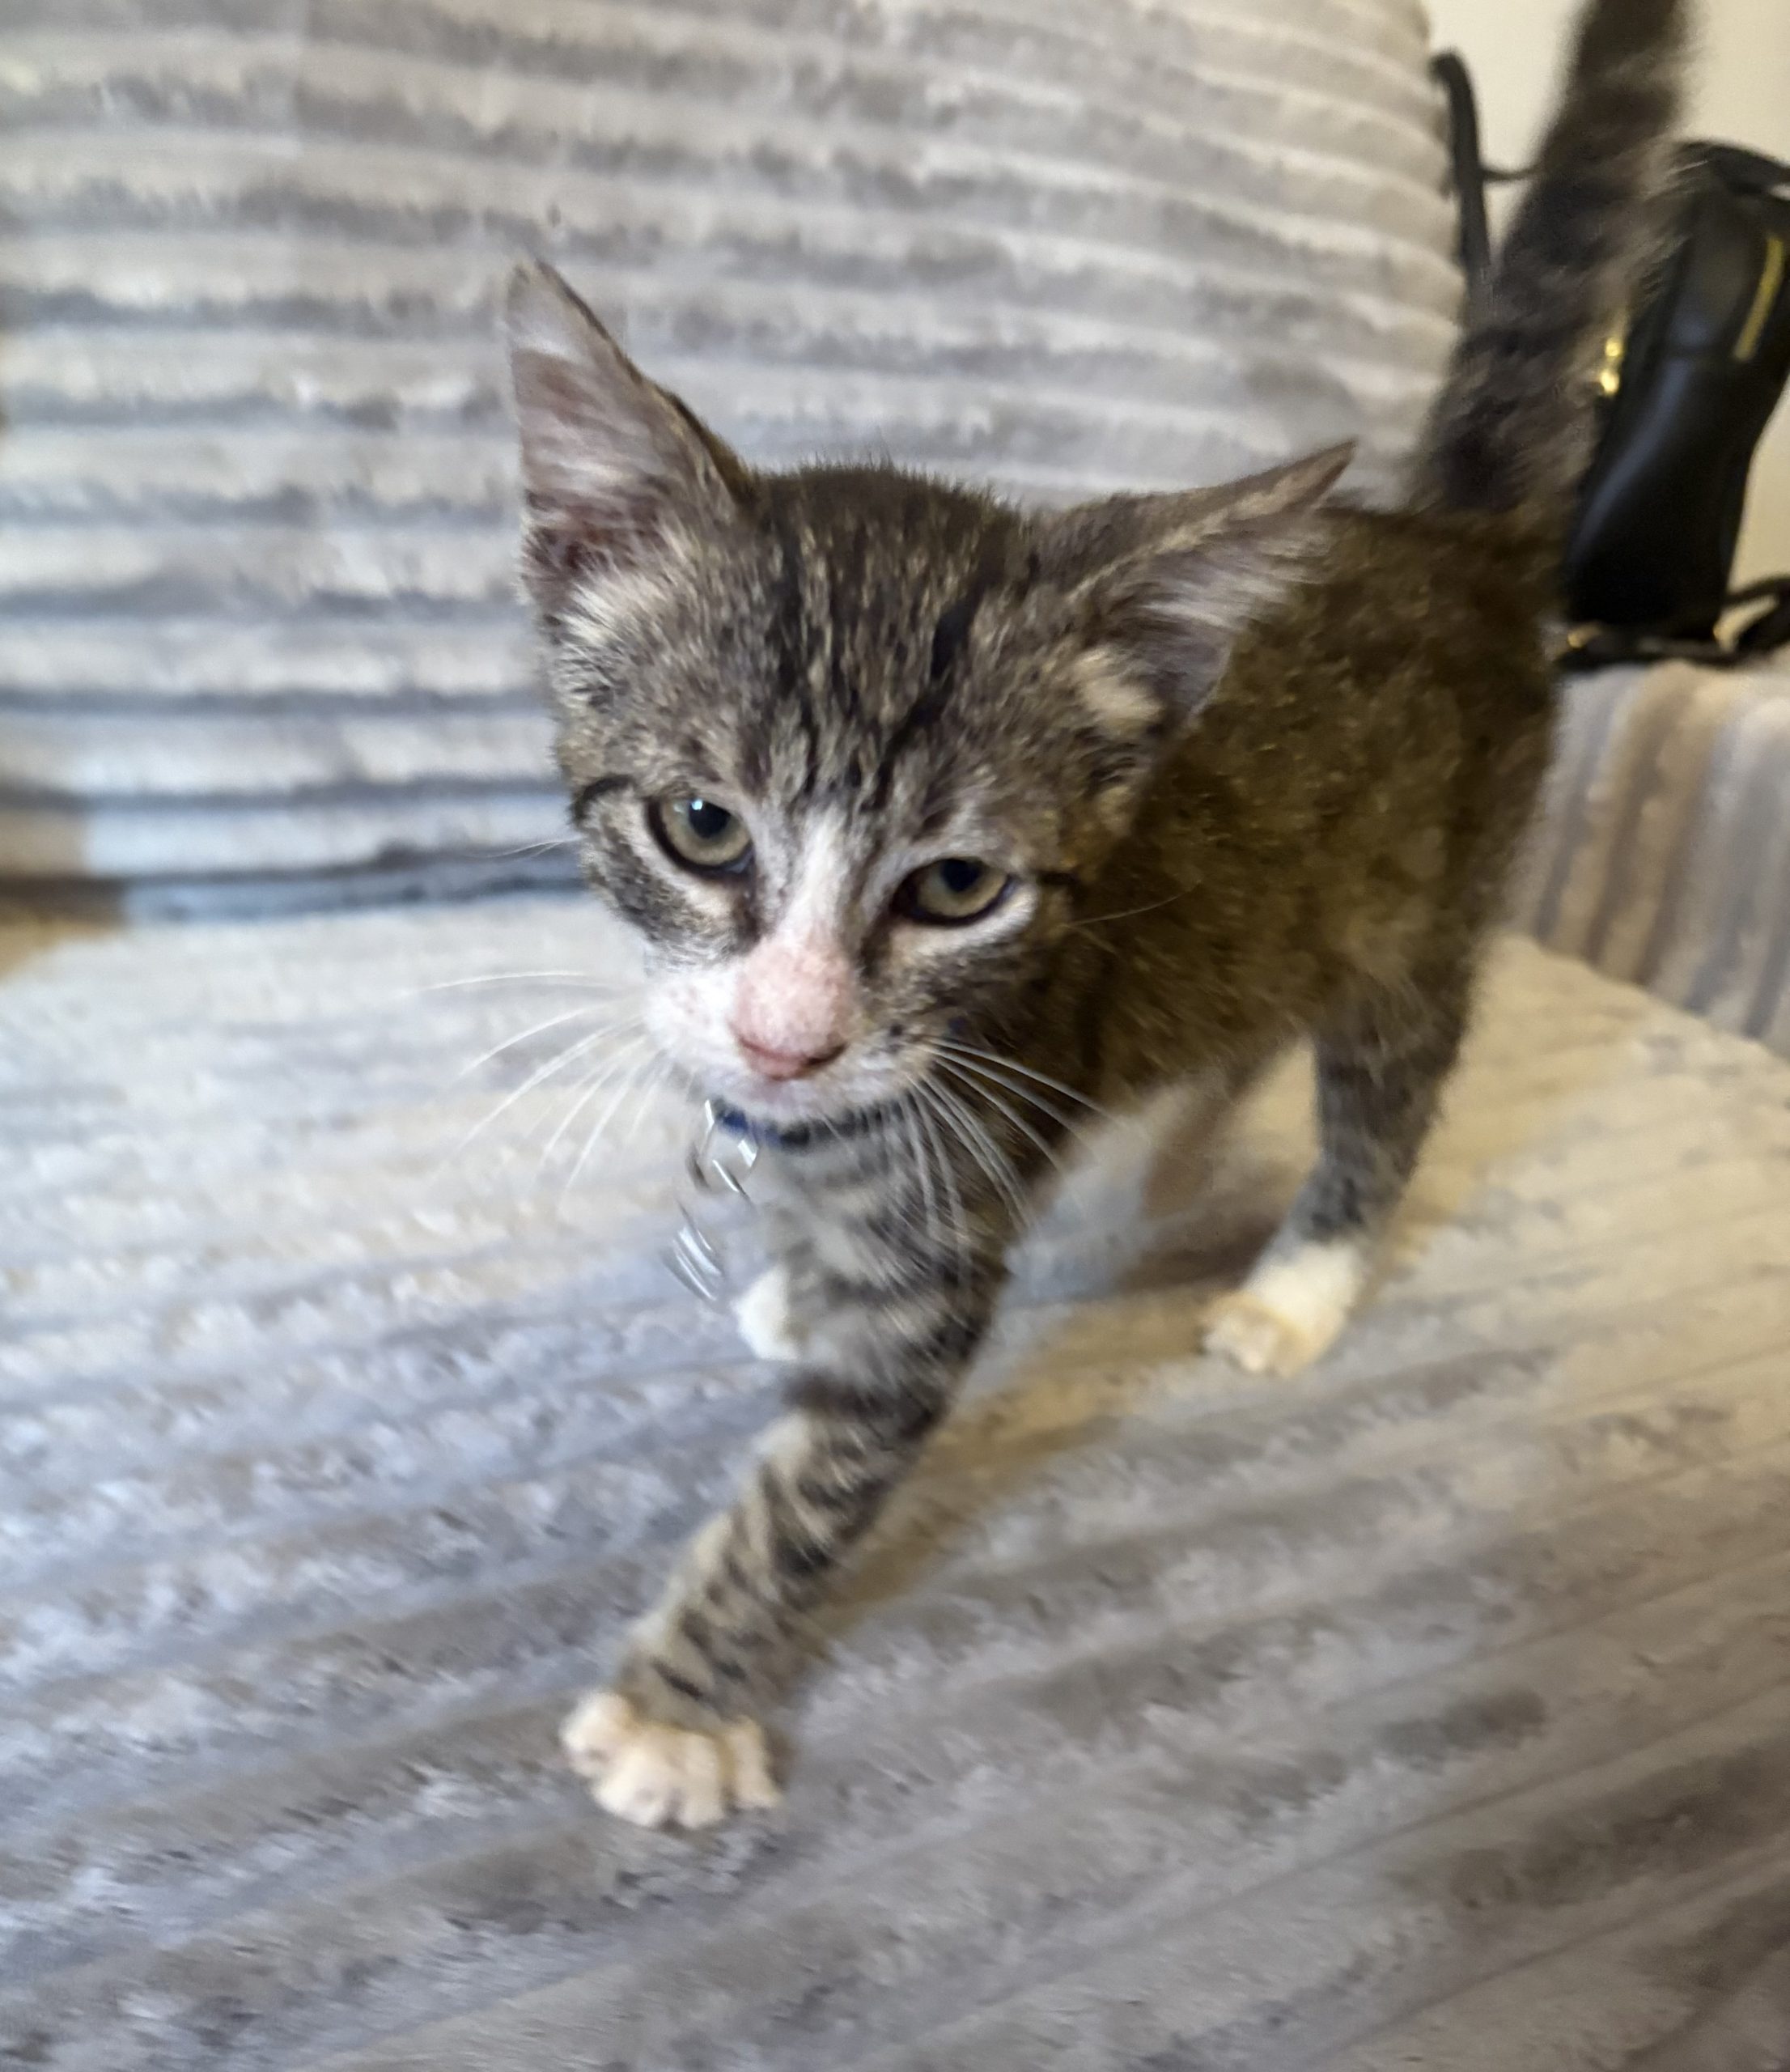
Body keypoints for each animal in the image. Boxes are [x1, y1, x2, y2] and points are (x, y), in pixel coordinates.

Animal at [502, 0, 1687, 1828]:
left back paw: (1299, 1280)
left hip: (1425, 905)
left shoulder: (948, 1190)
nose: (787, 1039)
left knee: (1392, 1088)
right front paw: (789, 1273)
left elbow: (821, 1473)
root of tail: (1456, 539)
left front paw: (681, 1702)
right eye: (700, 826)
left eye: (956, 887)